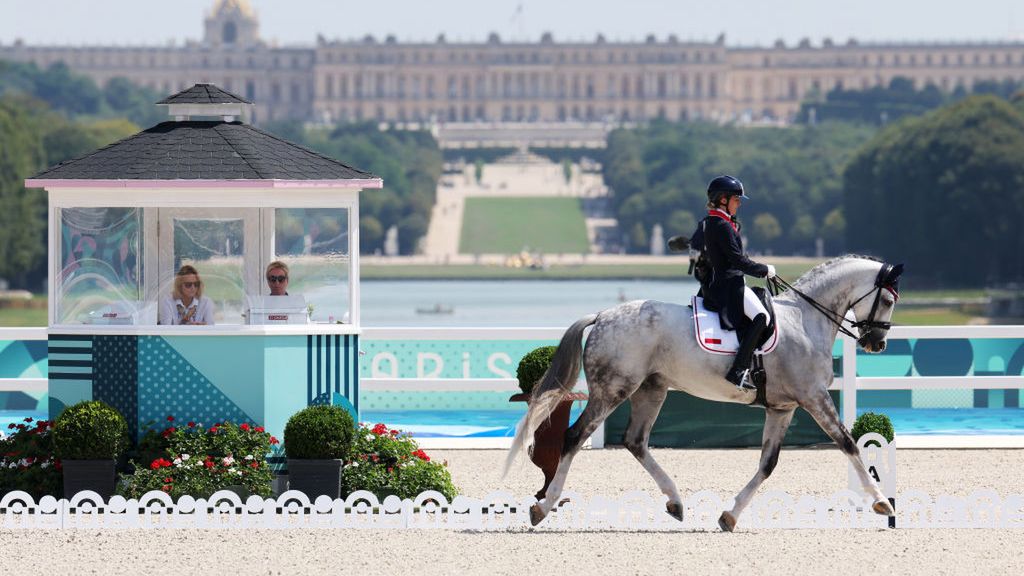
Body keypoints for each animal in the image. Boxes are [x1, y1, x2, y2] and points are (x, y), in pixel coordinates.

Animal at [507, 254, 901, 528]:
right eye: (888, 301)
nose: (877, 344)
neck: (805, 320)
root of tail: (602, 315)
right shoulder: (813, 397)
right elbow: (848, 443)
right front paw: (881, 502)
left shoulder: (782, 407)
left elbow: (768, 463)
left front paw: (730, 516)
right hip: (613, 389)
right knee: (574, 437)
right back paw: (543, 506)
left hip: (651, 390)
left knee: (635, 441)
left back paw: (675, 502)